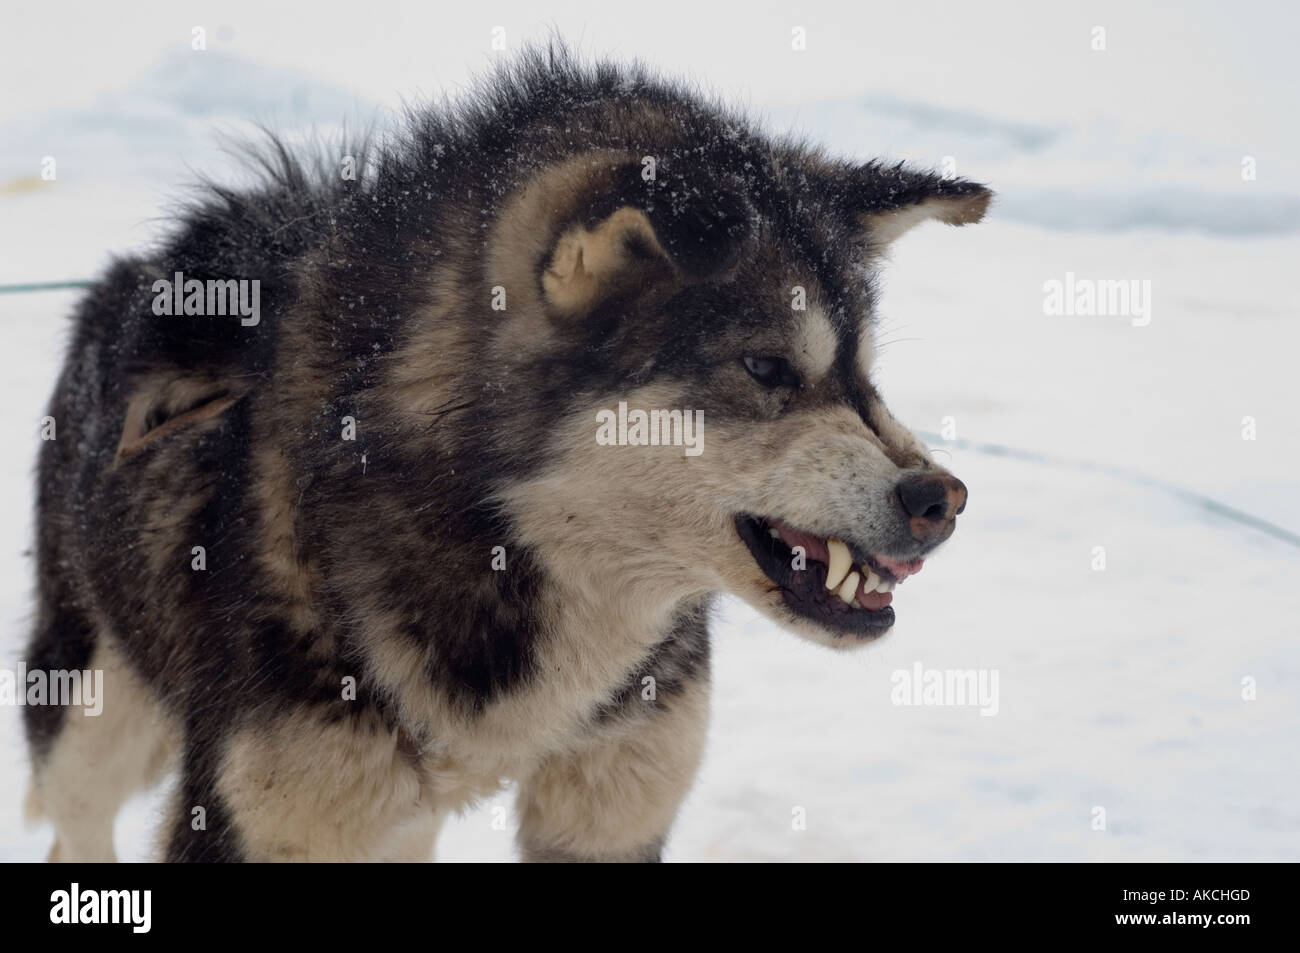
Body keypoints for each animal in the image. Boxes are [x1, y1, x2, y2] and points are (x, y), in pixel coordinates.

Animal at [25, 46, 987, 863]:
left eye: (865, 373)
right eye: (766, 366)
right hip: (94, 716)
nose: (940, 498)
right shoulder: (269, 819)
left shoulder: (610, 801)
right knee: (75, 822)